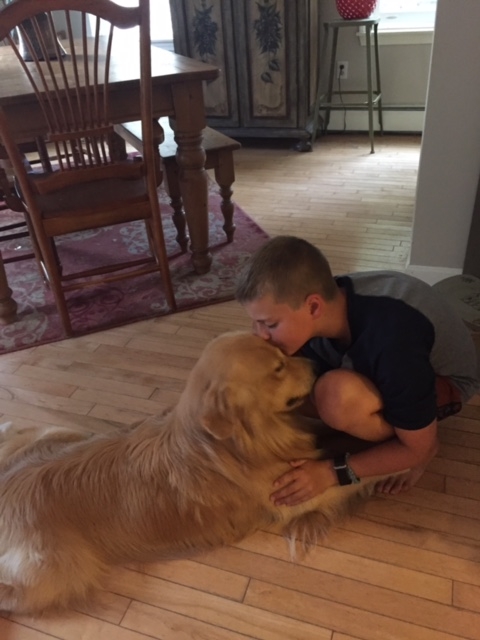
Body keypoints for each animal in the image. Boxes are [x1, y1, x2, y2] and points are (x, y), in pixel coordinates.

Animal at [0, 331, 374, 614]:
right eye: (279, 367)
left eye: (282, 350)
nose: (317, 365)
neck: (240, 443)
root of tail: (8, 486)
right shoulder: (295, 495)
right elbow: (358, 476)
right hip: (60, 570)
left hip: (55, 432)